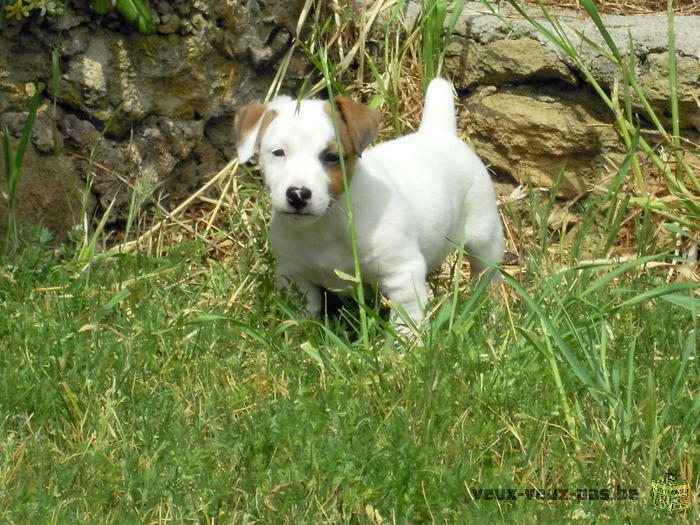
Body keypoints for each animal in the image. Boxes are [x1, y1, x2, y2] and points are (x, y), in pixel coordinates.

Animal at [235, 78, 504, 328]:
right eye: (278, 152)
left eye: (332, 157)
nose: (298, 194)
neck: (326, 225)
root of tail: (438, 132)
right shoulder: (295, 277)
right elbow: (303, 317)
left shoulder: (402, 273)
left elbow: (407, 319)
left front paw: (406, 344)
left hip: (484, 239)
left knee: (489, 280)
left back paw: (491, 317)